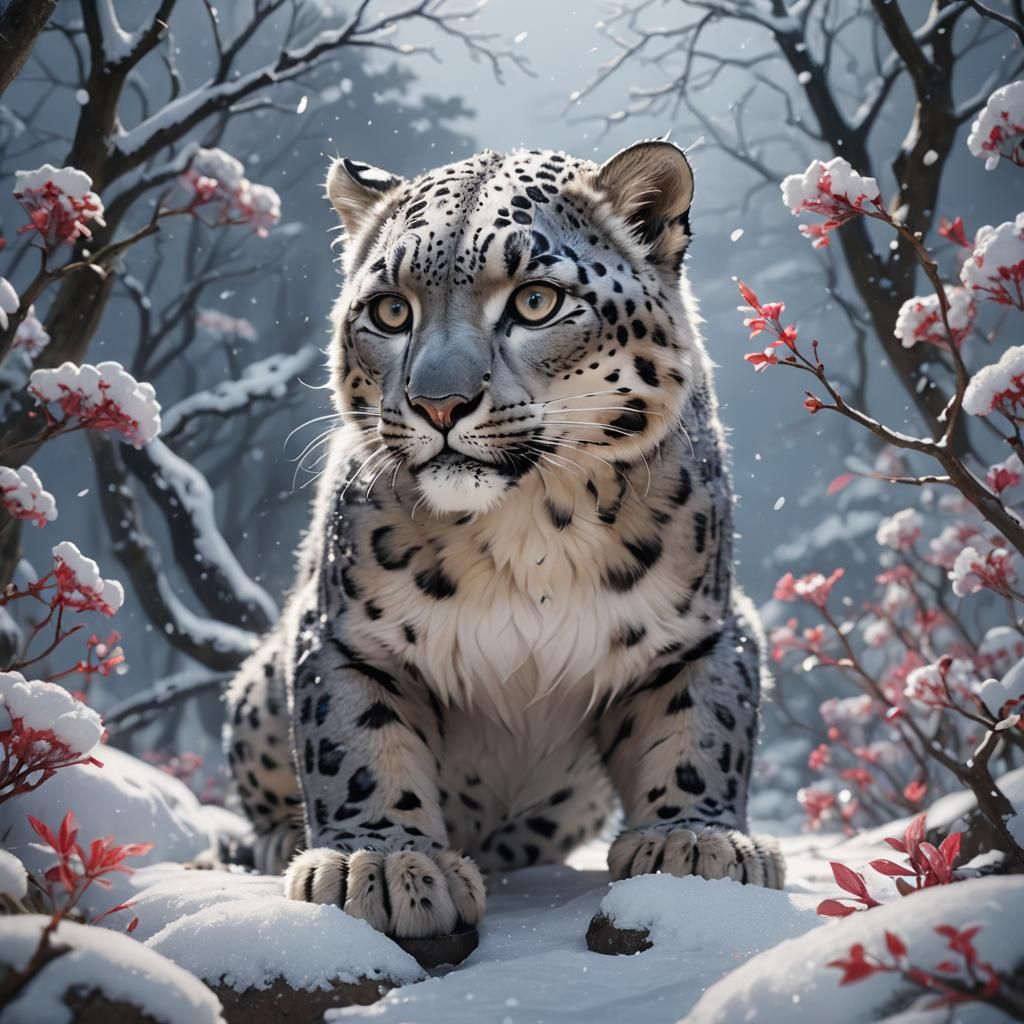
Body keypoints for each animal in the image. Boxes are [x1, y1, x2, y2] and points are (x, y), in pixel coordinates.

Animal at [223, 140, 784, 942]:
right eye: (391, 310)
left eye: (535, 301)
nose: (439, 403)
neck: (531, 529)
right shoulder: (343, 630)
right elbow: (354, 737)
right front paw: (381, 862)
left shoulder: (704, 626)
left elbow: (703, 726)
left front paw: (697, 840)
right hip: (259, 683)